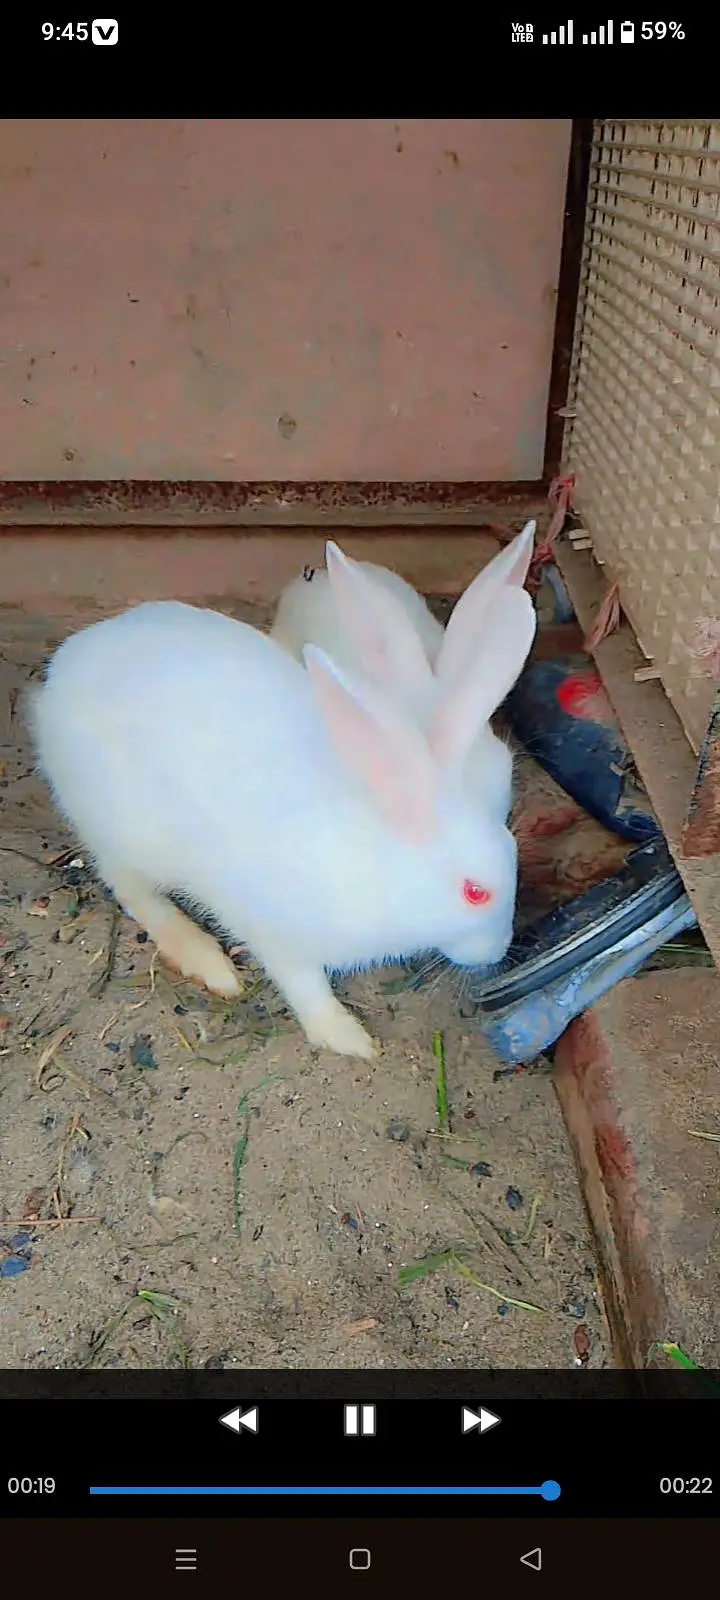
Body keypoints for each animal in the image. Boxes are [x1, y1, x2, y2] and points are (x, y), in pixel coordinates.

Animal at [28, 583, 535, 1062]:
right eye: (475, 892)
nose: (499, 950)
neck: (378, 859)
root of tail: (64, 668)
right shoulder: (273, 930)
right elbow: (303, 983)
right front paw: (349, 1038)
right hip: (122, 830)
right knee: (130, 888)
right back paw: (207, 960)